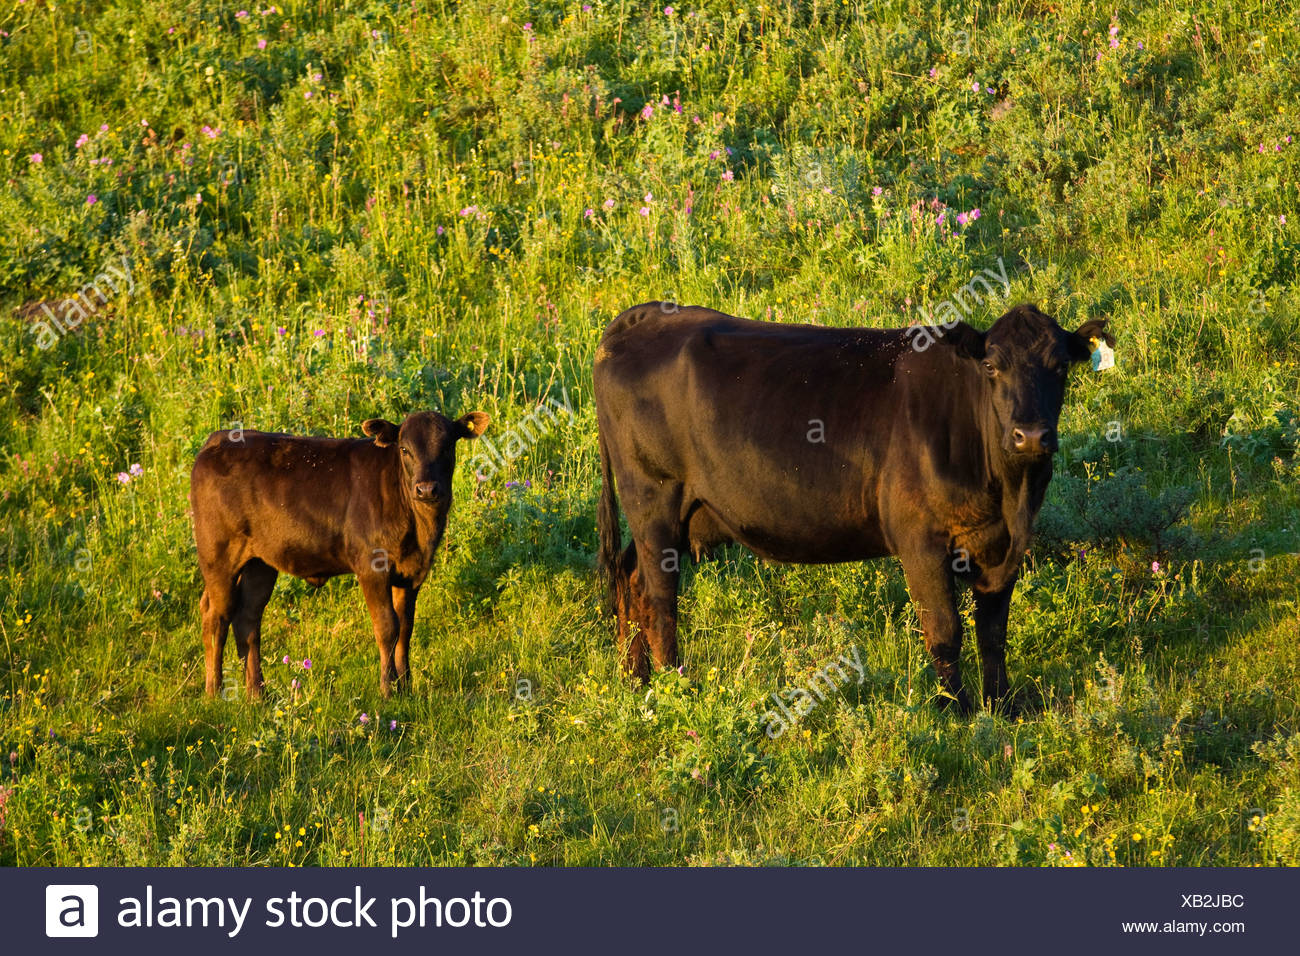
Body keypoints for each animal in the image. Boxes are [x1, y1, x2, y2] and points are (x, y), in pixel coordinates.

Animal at [189, 410, 490, 699]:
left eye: (448, 446)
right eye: (404, 449)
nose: (426, 488)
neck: (419, 529)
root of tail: (219, 439)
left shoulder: (411, 573)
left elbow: (405, 628)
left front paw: (406, 687)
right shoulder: (372, 567)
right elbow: (387, 627)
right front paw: (388, 689)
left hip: (260, 563)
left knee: (247, 618)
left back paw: (258, 694)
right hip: (219, 556)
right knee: (216, 616)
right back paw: (214, 692)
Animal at [593, 302, 1112, 714]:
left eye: (1060, 366)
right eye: (991, 367)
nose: (1031, 435)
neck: (1008, 493)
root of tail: (645, 316)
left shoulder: (999, 547)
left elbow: (992, 633)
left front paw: (1002, 707)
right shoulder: (921, 543)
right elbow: (945, 631)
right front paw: (957, 710)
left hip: (672, 517)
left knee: (631, 581)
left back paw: (635, 682)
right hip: (654, 500)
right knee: (659, 599)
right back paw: (675, 688)